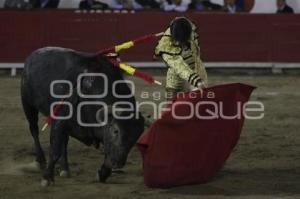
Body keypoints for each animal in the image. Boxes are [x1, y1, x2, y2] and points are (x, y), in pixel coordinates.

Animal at [20, 47, 145, 187]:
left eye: (136, 137)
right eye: (115, 131)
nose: (118, 163)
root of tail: (34, 54)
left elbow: (107, 154)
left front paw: (102, 174)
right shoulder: (59, 120)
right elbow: (54, 150)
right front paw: (47, 178)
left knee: (64, 141)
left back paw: (64, 168)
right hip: (28, 104)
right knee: (34, 130)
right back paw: (40, 161)